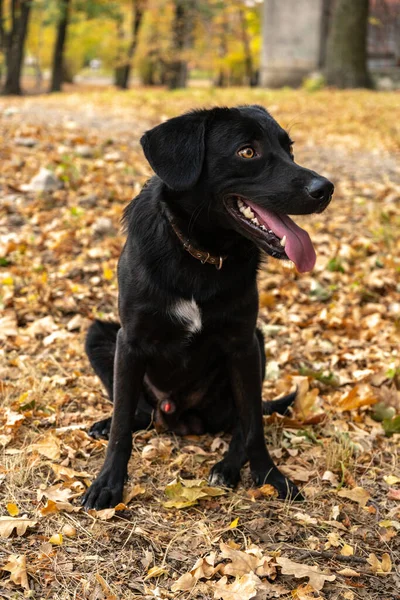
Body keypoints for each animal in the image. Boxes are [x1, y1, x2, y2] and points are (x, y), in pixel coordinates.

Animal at [82, 105, 334, 508]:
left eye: (289, 148)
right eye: (247, 152)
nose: (325, 189)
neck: (200, 256)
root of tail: (179, 418)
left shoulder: (243, 343)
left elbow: (254, 428)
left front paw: (269, 476)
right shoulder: (130, 341)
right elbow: (122, 424)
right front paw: (108, 483)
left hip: (256, 347)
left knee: (243, 422)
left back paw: (227, 468)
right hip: (98, 337)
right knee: (138, 412)